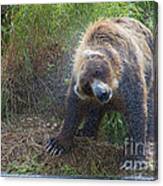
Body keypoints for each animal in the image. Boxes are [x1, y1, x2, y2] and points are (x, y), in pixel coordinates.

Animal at [45, 17, 154, 157]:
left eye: (97, 72)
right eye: (87, 85)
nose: (101, 93)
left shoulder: (129, 76)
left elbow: (136, 108)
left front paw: (135, 154)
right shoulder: (76, 78)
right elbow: (74, 107)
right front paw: (56, 144)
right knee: (95, 112)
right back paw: (85, 132)